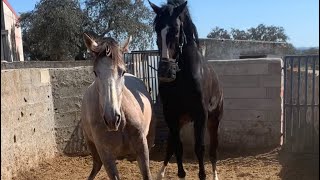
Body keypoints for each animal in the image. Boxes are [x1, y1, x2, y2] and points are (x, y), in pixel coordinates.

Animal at [149, 0, 224, 179]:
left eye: (176, 30)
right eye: (157, 29)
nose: (165, 71)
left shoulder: (201, 116)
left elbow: (200, 148)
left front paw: (203, 175)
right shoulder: (171, 115)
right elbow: (177, 148)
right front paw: (181, 174)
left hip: (214, 121)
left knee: (213, 150)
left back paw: (215, 174)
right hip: (179, 121)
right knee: (170, 146)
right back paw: (160, 174)